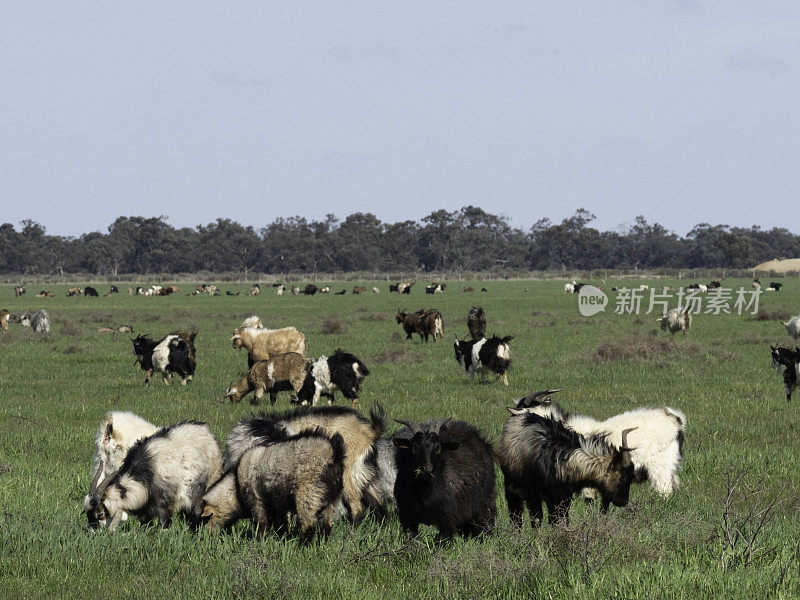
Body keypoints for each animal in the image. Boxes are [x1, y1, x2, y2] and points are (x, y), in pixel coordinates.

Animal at [200, 428, 344, 540]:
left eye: (206, 519)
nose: (205, 537)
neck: (236, 485)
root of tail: (334, 453)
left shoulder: (257, 500)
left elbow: (261, 523)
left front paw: (258, 541)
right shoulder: (278, 505)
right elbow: (282, 524)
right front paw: (283, 538)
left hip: (308, 492)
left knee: (308, 525)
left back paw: (304, 546)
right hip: (333, 497)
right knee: (326, 525)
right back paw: (321, 543)